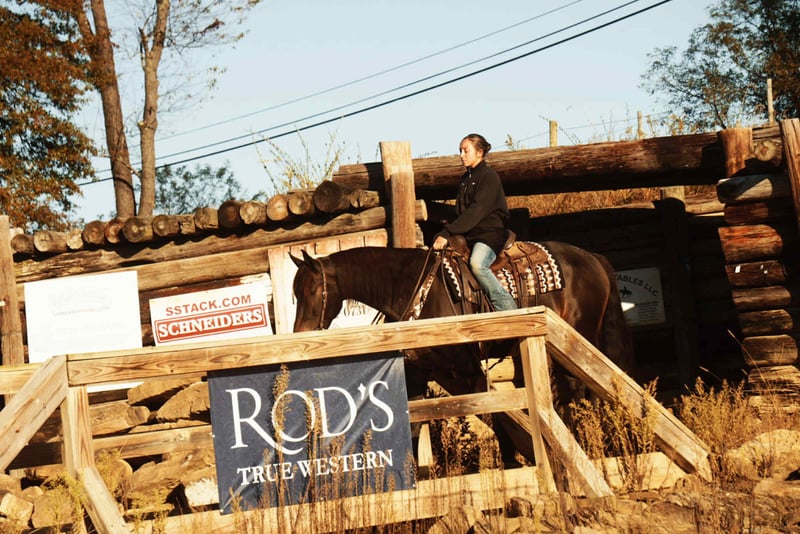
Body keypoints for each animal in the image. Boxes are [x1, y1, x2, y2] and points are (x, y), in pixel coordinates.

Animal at [290, 242, 634, 462]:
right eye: (295, 293)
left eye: (312, 290)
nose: (299, 335)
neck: (416, 290)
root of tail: (592, 256)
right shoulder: (419, 371)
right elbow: (414, 422)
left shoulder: (467, 368)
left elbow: (496, 413)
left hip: (576, 339)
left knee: (580, 389)